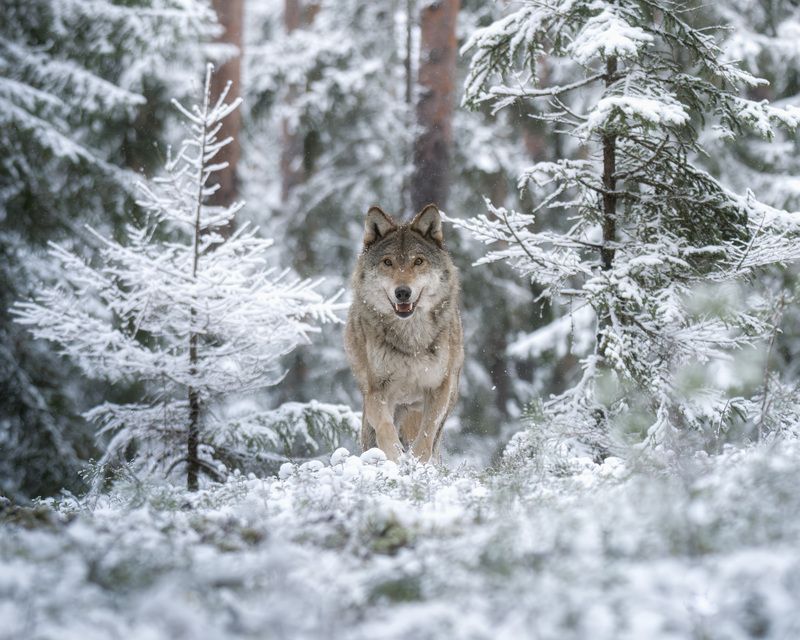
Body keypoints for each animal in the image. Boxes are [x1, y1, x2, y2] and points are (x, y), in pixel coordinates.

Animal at [345, 204, 464, 463]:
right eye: (387, 262)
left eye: (418, 261)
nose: (402, 292)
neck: (411, 339)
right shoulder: (376, 391)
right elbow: (386, 430)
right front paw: (397, 459)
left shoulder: (439, 388)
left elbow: (427, 434)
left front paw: (417, 463)